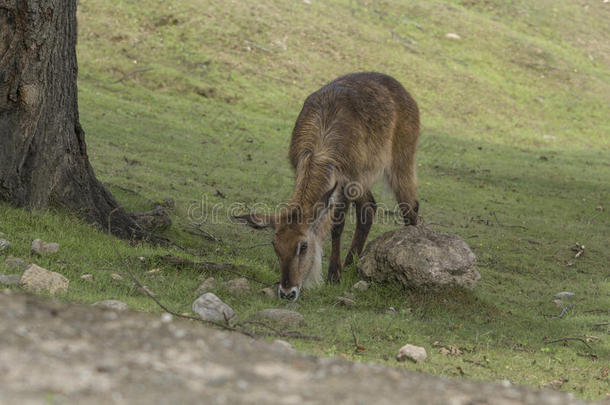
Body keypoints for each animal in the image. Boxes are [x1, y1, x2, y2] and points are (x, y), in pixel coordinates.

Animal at [236, 72, 418, 300]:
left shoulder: (347, 181)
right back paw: (350, 264)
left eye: (303, 246)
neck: (321, 143)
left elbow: (337, 226)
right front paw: (338, 271)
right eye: (275, 246)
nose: (287, 292)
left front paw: (333, 275)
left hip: (401, 161)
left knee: (410, 206)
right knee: (369, 207)